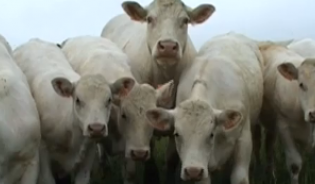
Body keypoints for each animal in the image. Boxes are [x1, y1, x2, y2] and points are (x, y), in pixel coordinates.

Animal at [146, 32, 264, 183]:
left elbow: (239, 178)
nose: (192, 171)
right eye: (177, 134)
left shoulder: (244, 141)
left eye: (211, 134)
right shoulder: (202, 167)